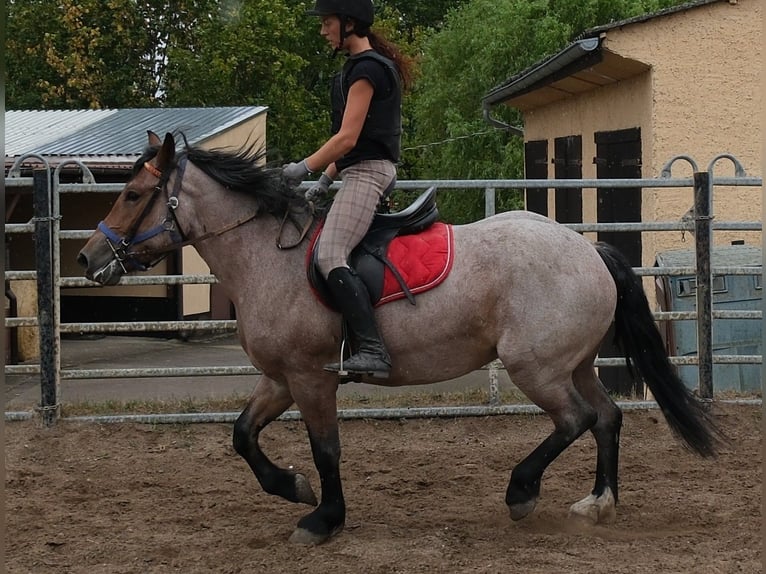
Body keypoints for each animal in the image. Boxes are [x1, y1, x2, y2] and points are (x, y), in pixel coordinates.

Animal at [78, 131, 722, 545]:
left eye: (132, 195)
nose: (87, 258)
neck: (266, 256)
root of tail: (588, 250)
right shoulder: (281, 378)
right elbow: (242, 435)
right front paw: (294, 488)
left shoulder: (310, 378)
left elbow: (327, 448)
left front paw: (323, 518)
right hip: (574, 362)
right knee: (608, 417)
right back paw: (599, 503)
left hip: (535, 367)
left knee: (577, 420)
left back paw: (522, 492)